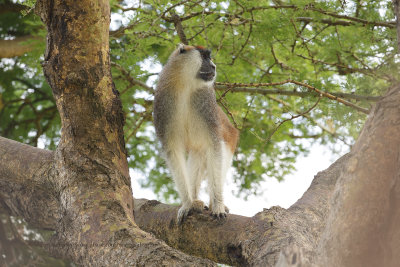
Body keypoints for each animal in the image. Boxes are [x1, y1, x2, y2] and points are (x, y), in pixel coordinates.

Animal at [154, 44, 239, 224]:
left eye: (209, 56)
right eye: (205, 57)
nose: (213, 66)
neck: (185, 86)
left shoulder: (206, 102)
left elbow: (215, 146)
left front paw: (218, 205)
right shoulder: (163, 104)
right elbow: (173, 151)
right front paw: (187, 204)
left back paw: (213, 202)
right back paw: (196, 201)